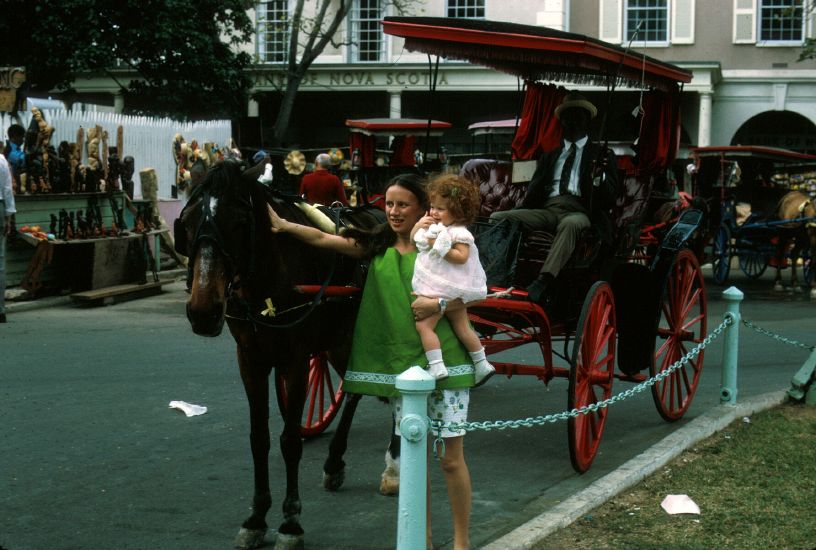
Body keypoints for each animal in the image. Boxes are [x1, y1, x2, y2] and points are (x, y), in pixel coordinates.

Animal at [177, 158, 394, 548]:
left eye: (239, 222)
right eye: (186, 221)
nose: (203, 311)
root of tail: (374, 212)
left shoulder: (293, 361)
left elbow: (290, 441)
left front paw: (291, 522)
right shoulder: (251, 361)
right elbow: (259, 438)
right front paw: (256, 517)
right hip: (337, 342)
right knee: (353, 388)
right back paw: (335, 461)